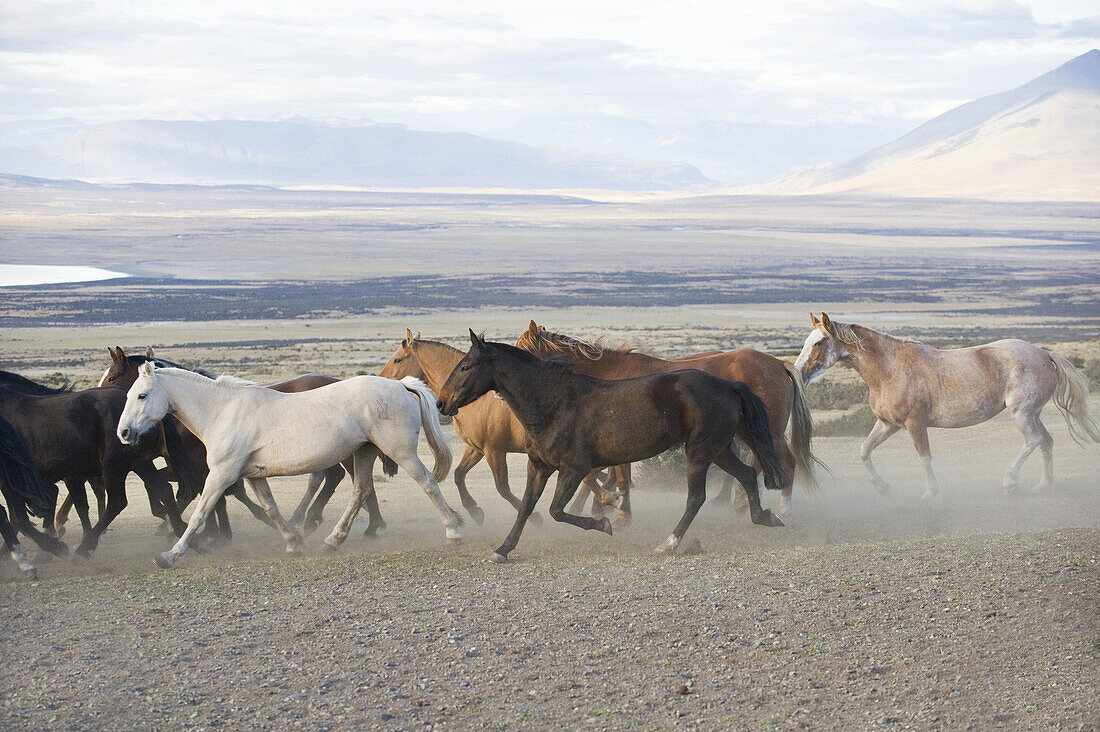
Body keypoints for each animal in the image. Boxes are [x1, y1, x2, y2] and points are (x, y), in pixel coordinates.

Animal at [111, 363, 455, 563]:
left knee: (428, 483)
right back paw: (332, 541)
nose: (123, 433)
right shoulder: (253, 475)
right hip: (364, 452)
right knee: (360, 491)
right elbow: (270, 508)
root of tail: (401, 385)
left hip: (400, 451)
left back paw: (453, 530)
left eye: (141, 395)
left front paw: (170, 554)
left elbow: (199, 514)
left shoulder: (221, 473)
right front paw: (293, 541)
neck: (223, 411)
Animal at [514, 319, 818, 512]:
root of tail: (779, 365)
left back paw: (782, 510)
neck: (606, 375)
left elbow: (605, 476)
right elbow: (609, 476)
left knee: (786, 462)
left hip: (771, 431)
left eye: (521, 352)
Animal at [796, 312, 1095, 497]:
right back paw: (1043, 487)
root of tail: (1044, 354)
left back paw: (1010, 483)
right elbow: (864, 451)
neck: (889, 370)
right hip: (1034, 414)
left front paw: (931, 492)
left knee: (1032, 441)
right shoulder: (887, 424)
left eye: (819, 342)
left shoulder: (915, 423)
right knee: (1046, 442)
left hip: (1022, 414)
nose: (799, 372)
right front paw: (883, 487)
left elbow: (924, 457)